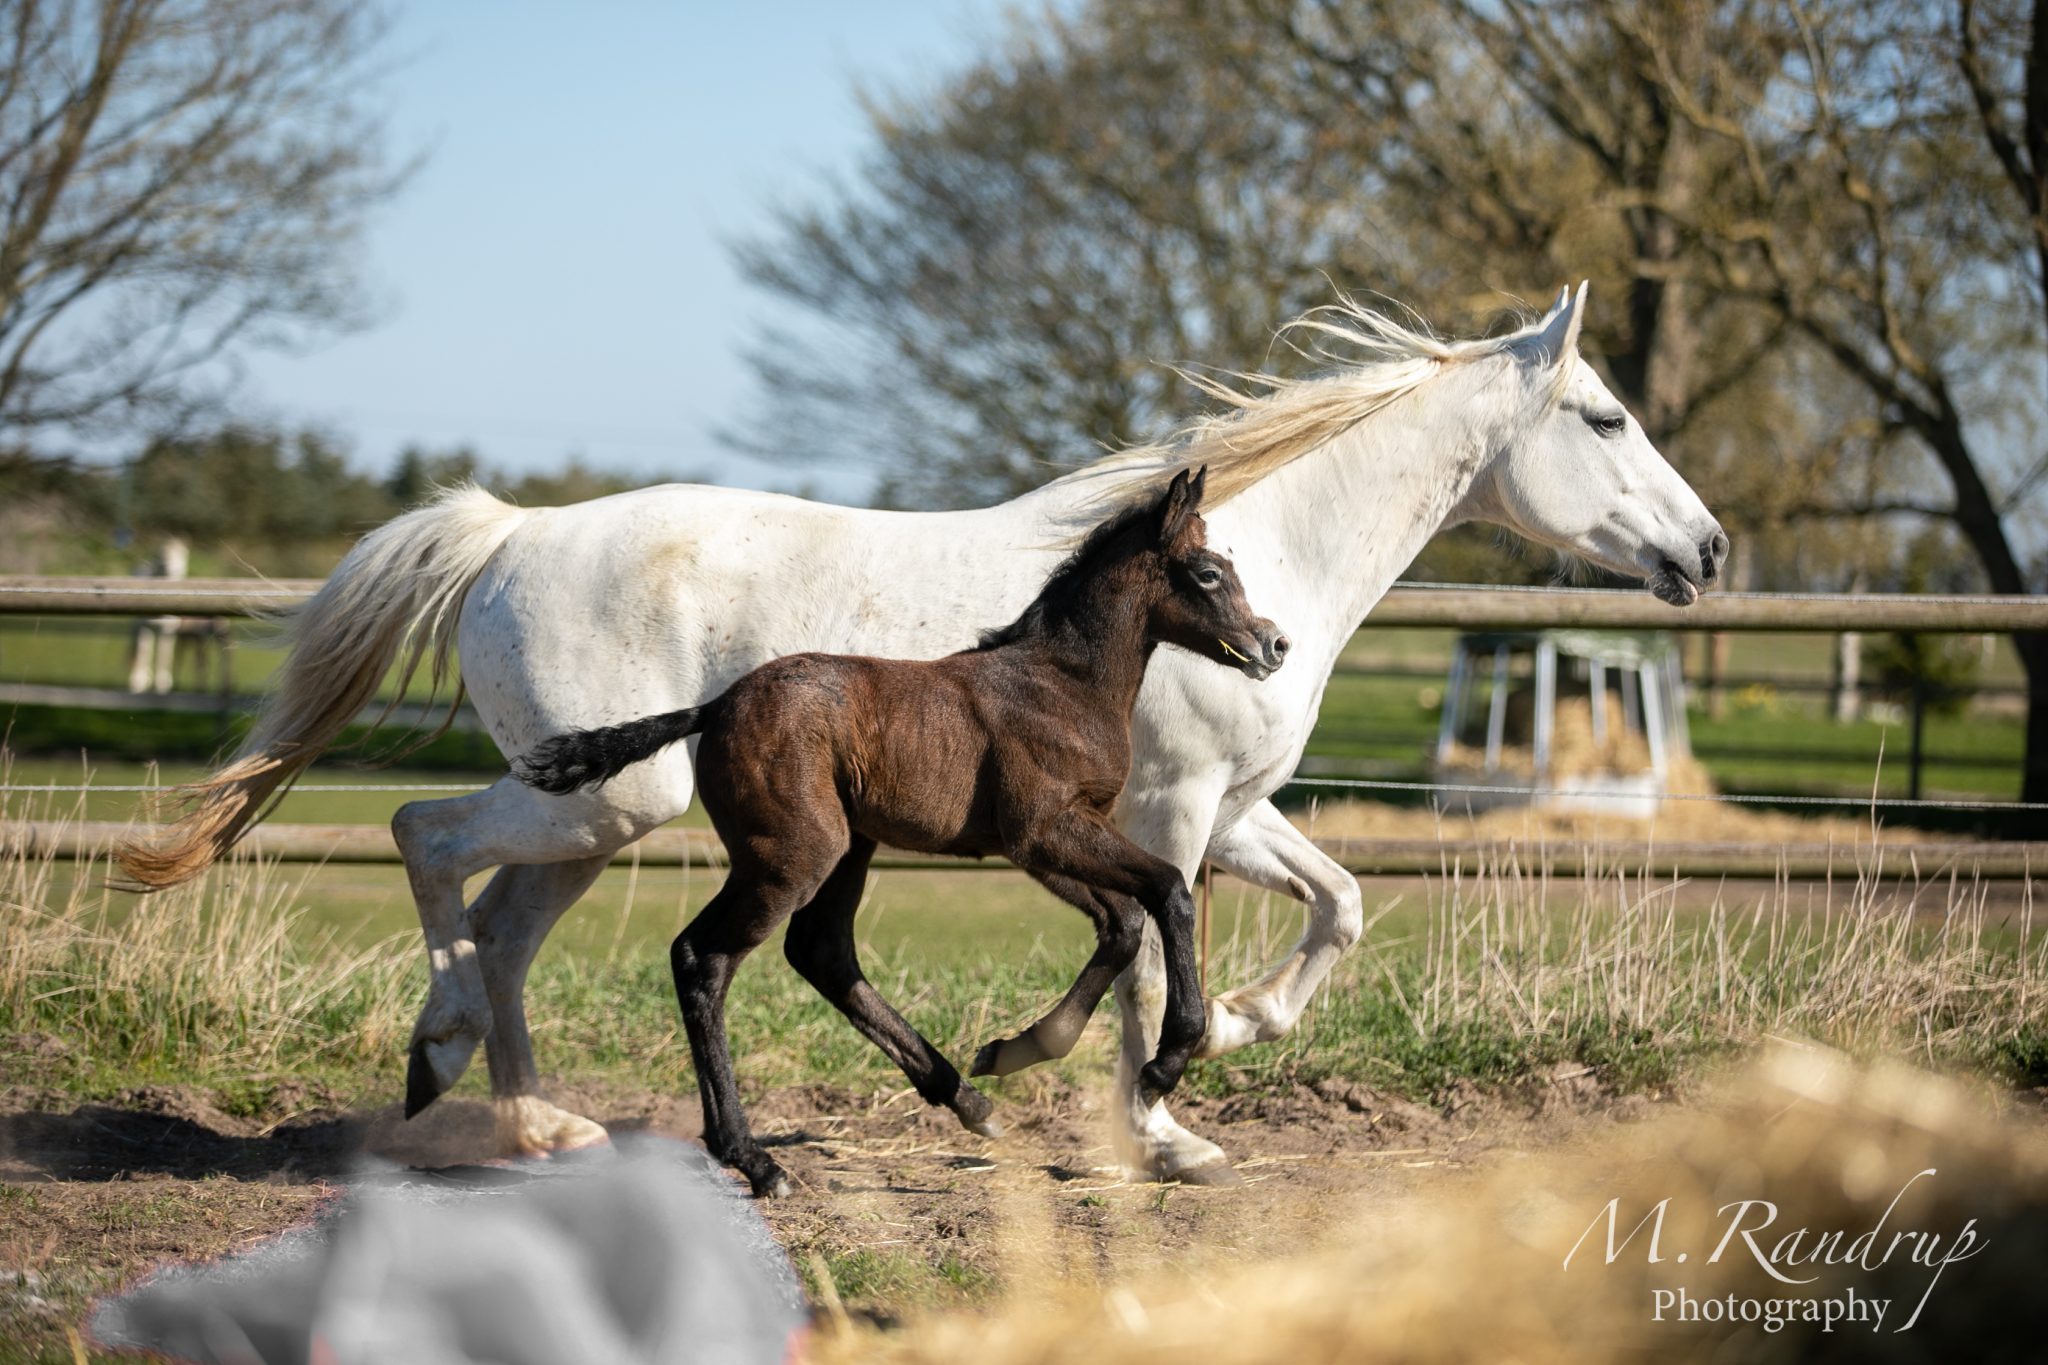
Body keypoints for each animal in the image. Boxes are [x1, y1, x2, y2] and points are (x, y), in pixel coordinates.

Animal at [516, 470, 1277, 1195]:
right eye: (1208, 572)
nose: (1274, 643)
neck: (1063, 683)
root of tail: (717, 704)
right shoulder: (1044, 829)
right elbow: (1169, 890)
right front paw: (1165, 1064)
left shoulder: (1042, 842)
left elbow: (1121, 923)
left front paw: (1015, 1049)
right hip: (794, 855)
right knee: (703, 957)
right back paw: (755, 1160)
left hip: (848, 847)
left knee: (822, 951)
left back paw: (968, 1099)